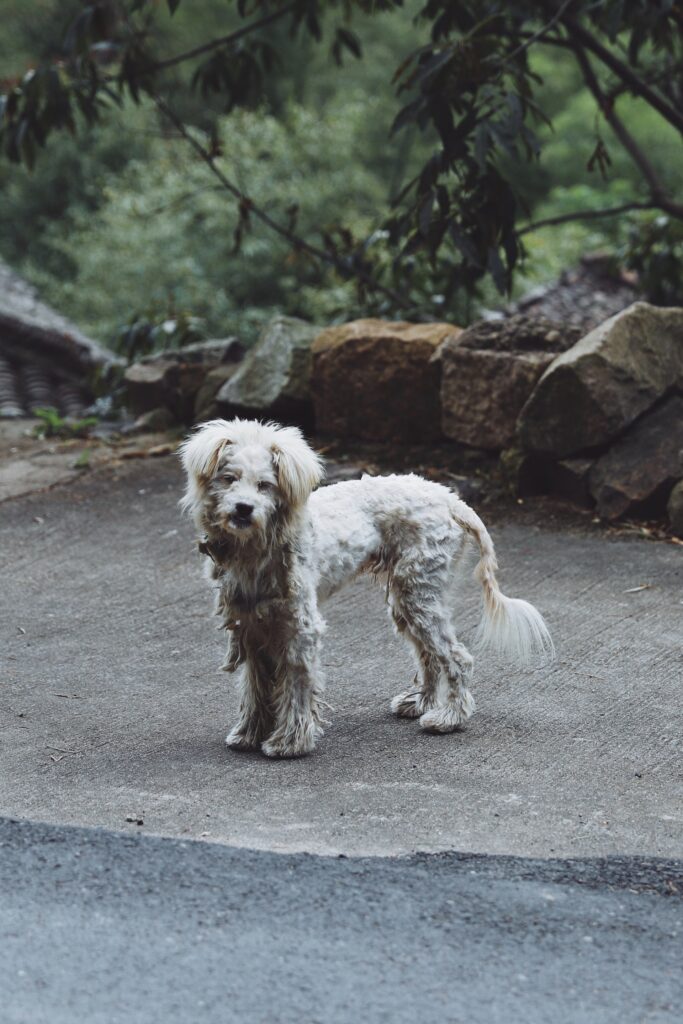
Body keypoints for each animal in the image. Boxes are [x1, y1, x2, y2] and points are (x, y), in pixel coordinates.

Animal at [179, 415, 552, 761]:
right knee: (429, 655)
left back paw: (449, 718)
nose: (244, 509)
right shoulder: (252, 627)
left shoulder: (300, 628)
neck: (259, 545)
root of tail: (450, 499)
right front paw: (249, 733)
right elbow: (256, 687)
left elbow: (296, 684)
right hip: (407, 598)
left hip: (419, 595)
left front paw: (290, 742)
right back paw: (420, 702)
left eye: (265, 485)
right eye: (228, 479)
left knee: (456, 657)